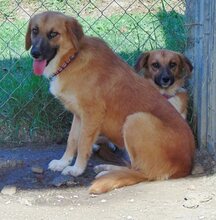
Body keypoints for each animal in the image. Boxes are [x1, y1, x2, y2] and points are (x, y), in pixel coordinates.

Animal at [25, 11, 196, 194]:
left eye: (53, 34)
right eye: (35, 30)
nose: (34, 53)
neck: (72, 59)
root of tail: (186, 165)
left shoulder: (92, 115)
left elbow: (83, 143)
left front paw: (77, 169)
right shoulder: (78, 115)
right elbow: (72, 140)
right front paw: (63, 162)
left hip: (136, 119)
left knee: (143, 173)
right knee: (133, 167)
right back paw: (106, 169)